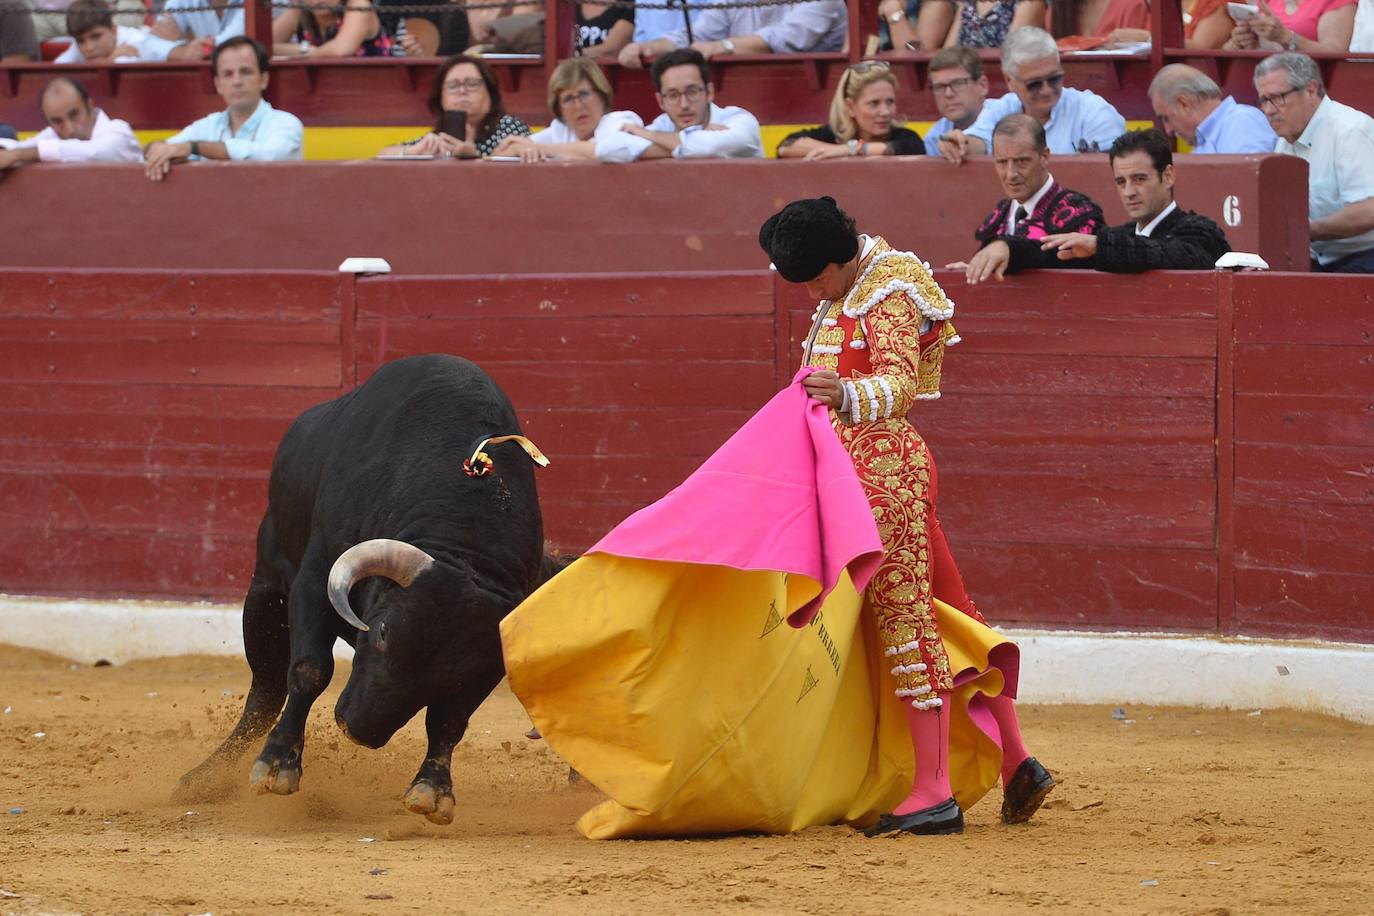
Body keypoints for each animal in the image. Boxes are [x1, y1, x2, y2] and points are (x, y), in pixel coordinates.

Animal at [177, 354, 563, 823]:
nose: (359, 731)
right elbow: (309, 669)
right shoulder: (314, 581)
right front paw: (277, 766)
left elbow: (450, 719)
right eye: (381, 634)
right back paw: (205, 779)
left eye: (471, 670)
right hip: (265, 591)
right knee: (265, 691)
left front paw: (432, 788)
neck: (464, 535)